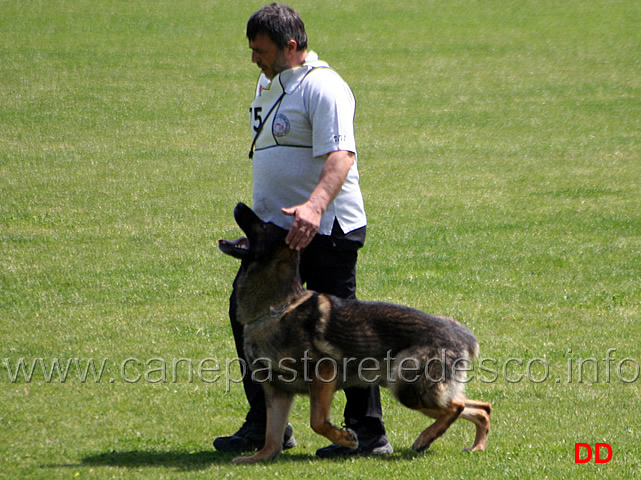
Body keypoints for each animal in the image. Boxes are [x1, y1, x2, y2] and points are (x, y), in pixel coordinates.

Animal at [220, 203, 490, 464]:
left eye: (265, 225)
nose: (239, 204)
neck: (276, 308)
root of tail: (461, 335)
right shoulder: (277, 392)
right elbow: (272, 436)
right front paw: (259, 458)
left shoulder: (323, 374)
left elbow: (317, 421)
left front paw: (346, 439)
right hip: (418, 389)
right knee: (481, 408)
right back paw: (476, 446)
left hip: (407, 388)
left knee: (456, 407)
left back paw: (425, 438)